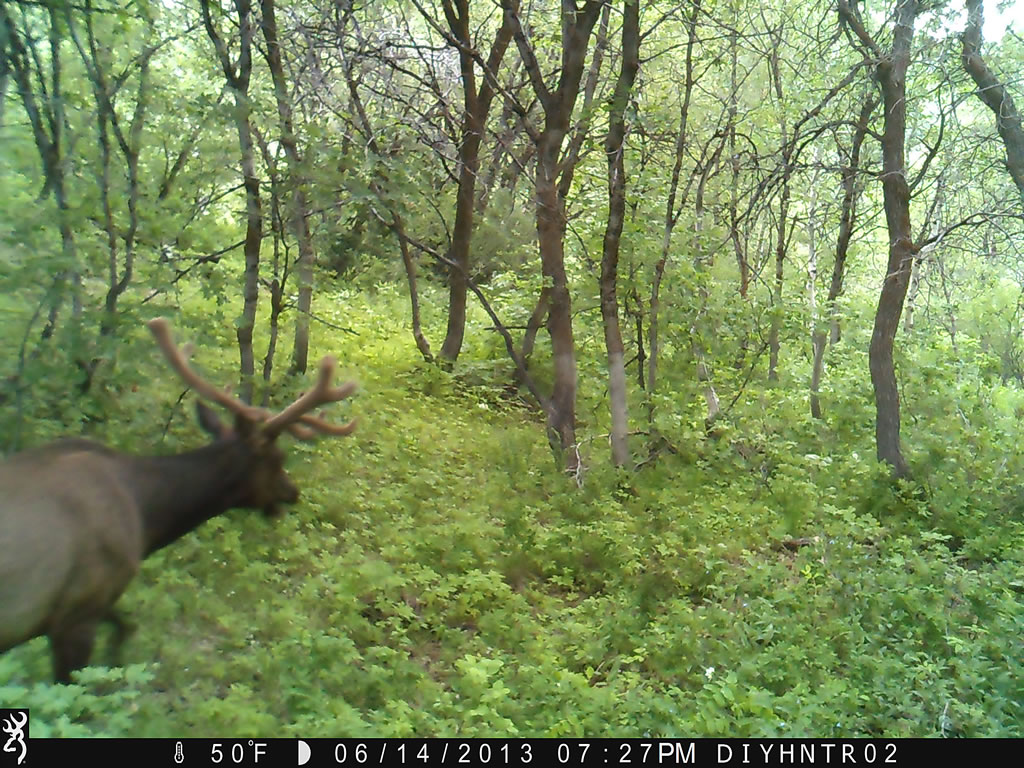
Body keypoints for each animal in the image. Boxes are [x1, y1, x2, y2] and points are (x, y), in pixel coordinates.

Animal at [0, 318, 357, 683]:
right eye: (278, 458)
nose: (293, 492)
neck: (146, 518)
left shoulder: (93, 604)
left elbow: (126, 627)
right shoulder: (80, 608)